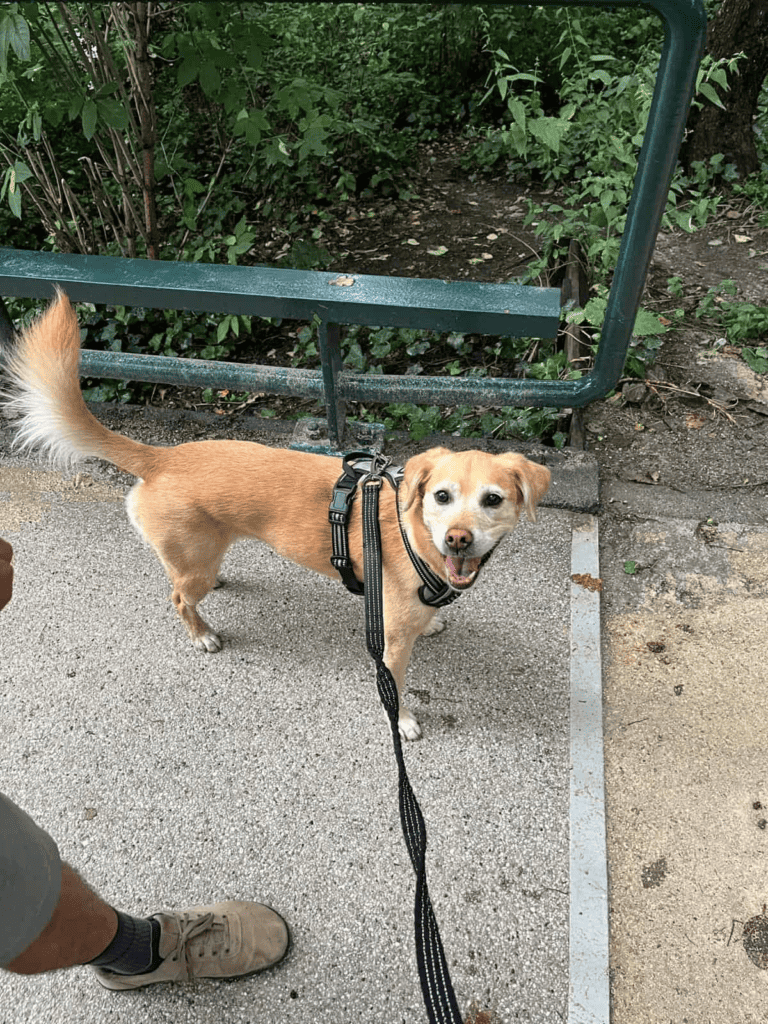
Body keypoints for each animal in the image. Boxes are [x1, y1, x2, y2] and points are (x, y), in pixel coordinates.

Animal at [3, 292, 548, 741]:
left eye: (492, 500)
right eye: (441, 496)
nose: (459, 539)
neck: (415, 534)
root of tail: (162, 457)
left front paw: (432, 624)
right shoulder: (390, 646)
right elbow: (394, 694)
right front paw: (405, 722)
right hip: (193, 570)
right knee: (178, 597)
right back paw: (201, 634)